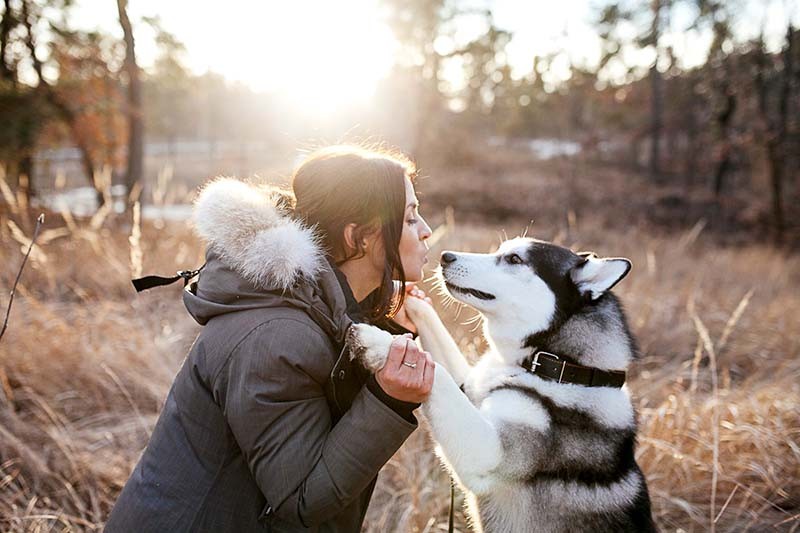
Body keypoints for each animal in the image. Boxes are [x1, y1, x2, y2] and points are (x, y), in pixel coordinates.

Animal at [350, 238, 656, 532]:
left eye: (514, 259)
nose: (446, 256)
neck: (558, 365)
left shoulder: (489, 453)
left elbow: (438, 374)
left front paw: (379, 343)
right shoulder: (470, 389)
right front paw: (404, 294)